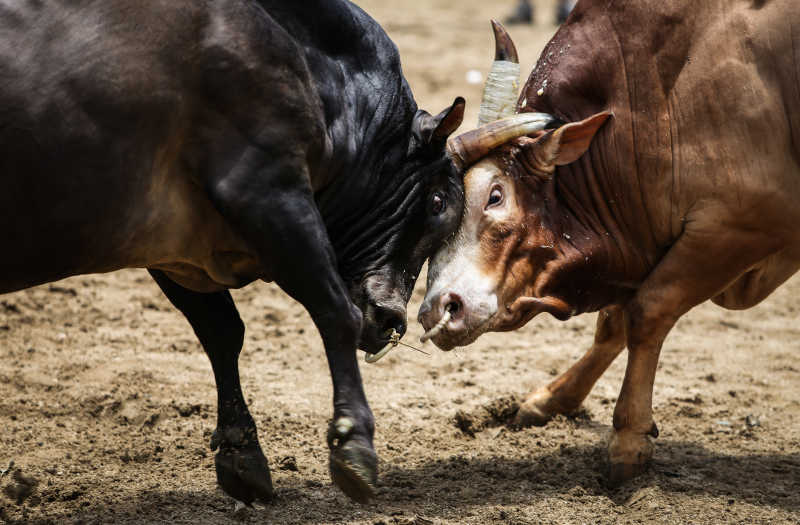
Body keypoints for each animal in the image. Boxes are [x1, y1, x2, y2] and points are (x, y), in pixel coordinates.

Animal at [0, 0, 466, 502]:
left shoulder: (174, 249)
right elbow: (335, 311)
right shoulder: (267, 190)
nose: (391, 319)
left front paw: (242, 454)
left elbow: (222, 331)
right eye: (438, 202)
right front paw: (353, 442)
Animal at [418, 0, 800, 484]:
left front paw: (628, 439)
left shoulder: (736, 227)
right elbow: (613, 322)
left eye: (496, 196)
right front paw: (551, 399)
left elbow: (647, 311)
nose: (436, 311)